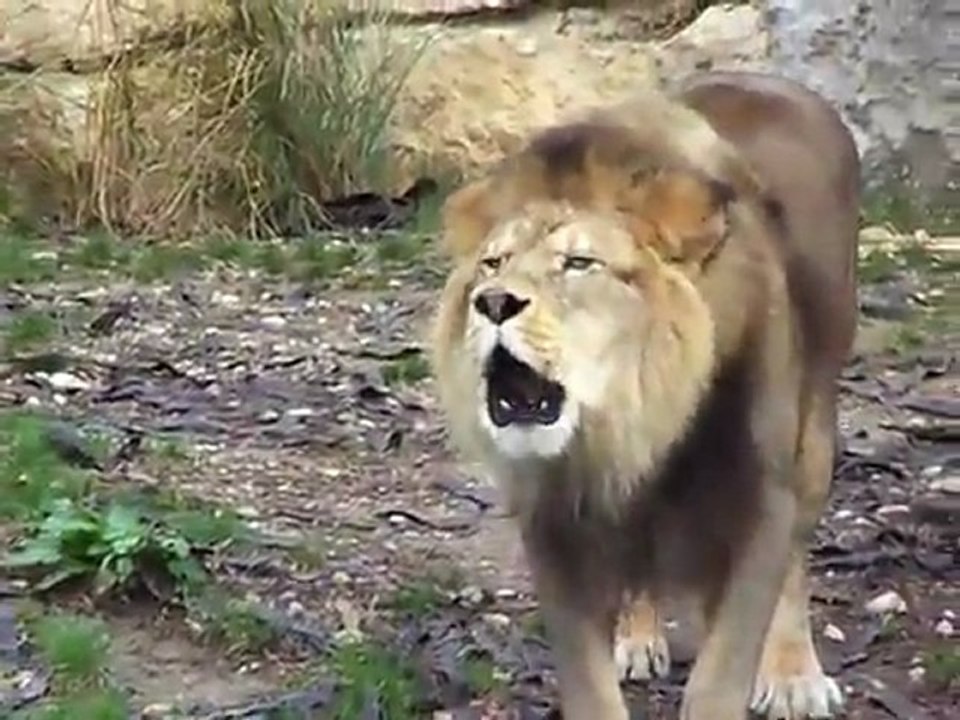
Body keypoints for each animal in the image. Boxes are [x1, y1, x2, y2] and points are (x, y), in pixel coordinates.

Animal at [429, 70, 860, 720]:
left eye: (580, 262)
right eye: (492, 263)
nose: (494, 302)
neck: (632, 427)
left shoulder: (758, 503)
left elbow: (724, 667)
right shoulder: (555, 527)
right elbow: (588, 681)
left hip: (814, 440)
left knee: (795, 562)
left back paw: (794, 676)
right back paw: (637, 638)